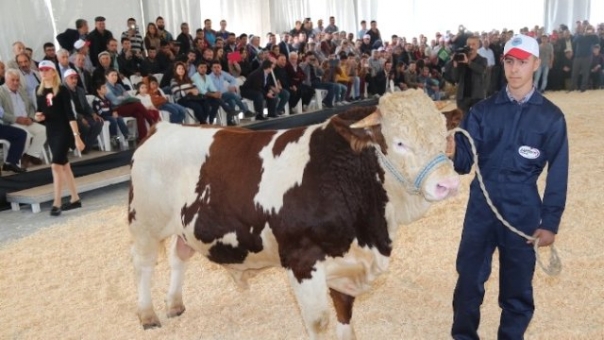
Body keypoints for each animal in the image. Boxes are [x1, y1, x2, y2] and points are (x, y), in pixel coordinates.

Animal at [127, 89, 458, 338]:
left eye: (443, 135)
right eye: (399, 142)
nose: (448, 183)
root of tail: (162, 128)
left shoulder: (346, 261)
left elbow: (345, 314)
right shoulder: (302, 261)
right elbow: (319, 323)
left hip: (184, 225)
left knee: (178, 256)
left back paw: (174, 304)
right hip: (144, 222)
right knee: (144, 266)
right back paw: (148, 314)